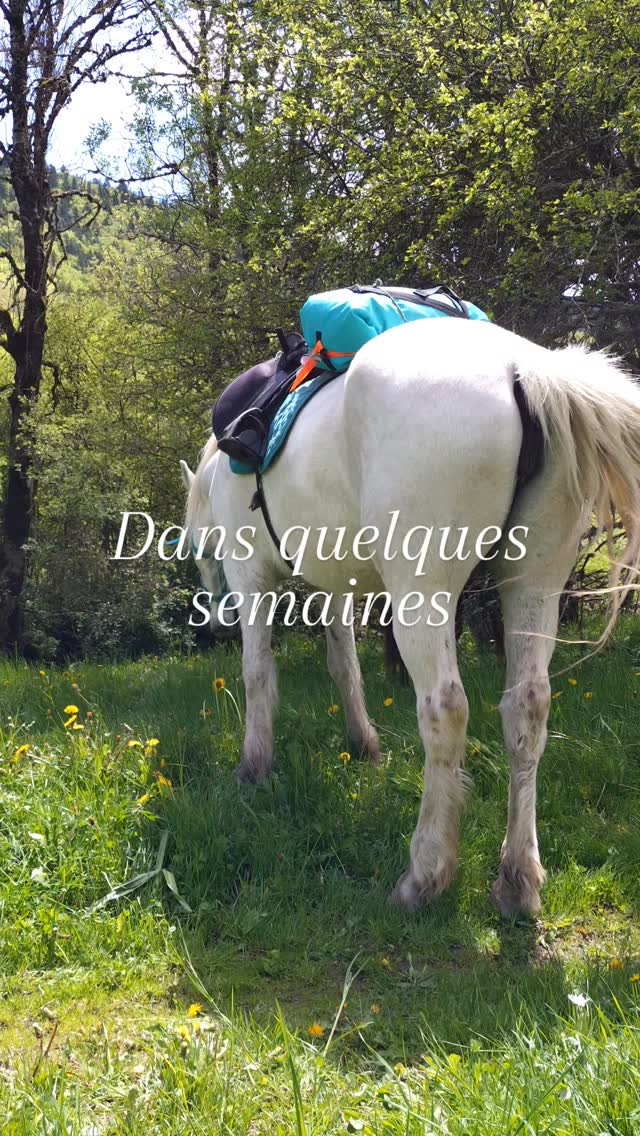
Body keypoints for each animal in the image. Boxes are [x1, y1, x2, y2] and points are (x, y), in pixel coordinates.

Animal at [180, 318, 640, 916]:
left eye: (196, 545)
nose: (212, 621)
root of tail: (525, 369)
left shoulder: (251, 579)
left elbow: (258, 675)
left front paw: (253, 767)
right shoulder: (335, 586)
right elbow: (345, 667)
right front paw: (363, 744)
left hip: (422, 594)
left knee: (445, 711)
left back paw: (426, 873)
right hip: (534, 585)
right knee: (528, 707)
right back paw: (517, 878)